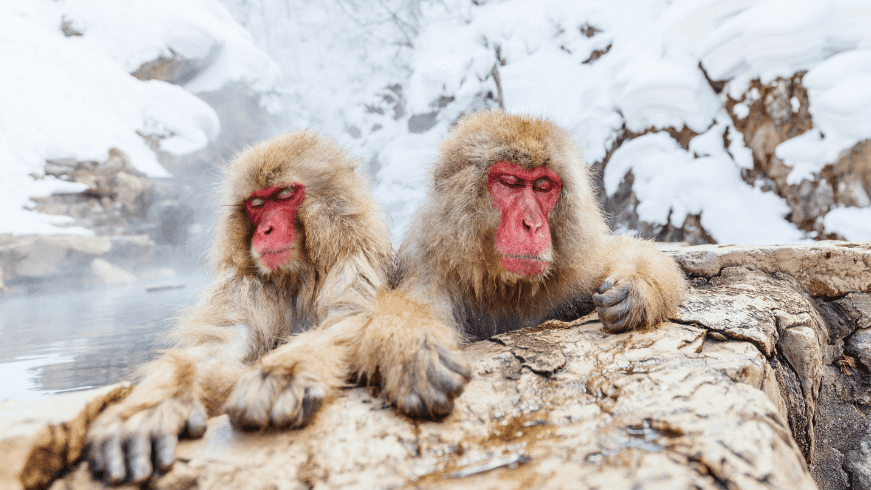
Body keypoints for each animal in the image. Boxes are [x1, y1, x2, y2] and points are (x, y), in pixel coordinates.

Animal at [85, 130, 392, 485]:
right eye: (256, 204)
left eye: (285, 194)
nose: (266, 230)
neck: (297, 276)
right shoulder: (245, 284)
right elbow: (221, 347)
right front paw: (151, 406)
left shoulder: (354, 263)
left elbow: (347, 321)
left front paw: (282, 375)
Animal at [349, 111, 687, 420]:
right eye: (510, 183)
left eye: (542, 186)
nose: (532, 224)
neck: (505, 286)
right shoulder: (431, 280)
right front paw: (413, 347)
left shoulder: (576, 272)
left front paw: (636, 286)